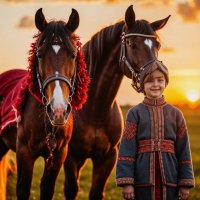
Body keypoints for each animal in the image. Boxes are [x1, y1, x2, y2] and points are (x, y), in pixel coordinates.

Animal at [0, 7, 89, 200]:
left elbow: (47, 189)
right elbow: (23, 189)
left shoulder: (58, 155)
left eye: (73, 55)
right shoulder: (24, 153)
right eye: (39, 55)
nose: (58, 110)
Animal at [64, 5, 170, 200]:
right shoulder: (71, 156)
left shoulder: (108, 157)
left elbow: (96, 192)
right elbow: (71, 189)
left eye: (157, 45)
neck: (94, 110)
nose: (157, 78)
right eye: (132, 44)